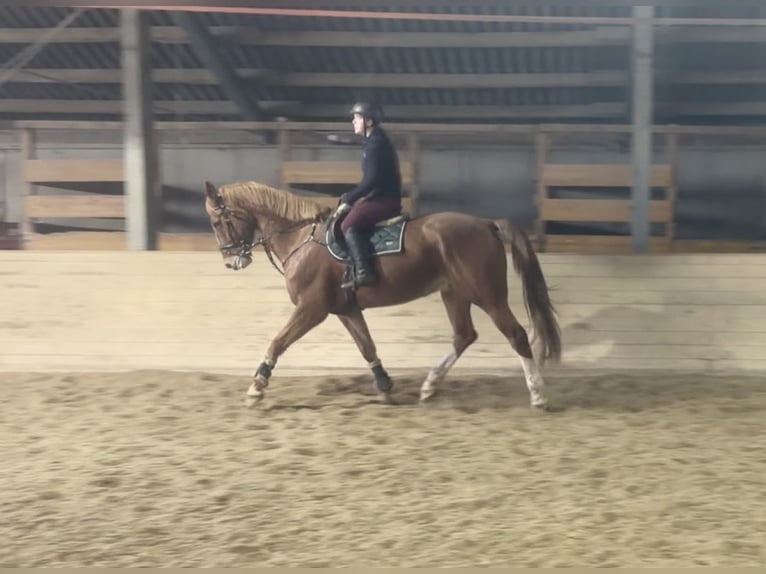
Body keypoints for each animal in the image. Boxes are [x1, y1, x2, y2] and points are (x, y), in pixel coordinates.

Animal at [203, 180, 562, 409]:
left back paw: (538, 394)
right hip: (454, 294)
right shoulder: (345, 310)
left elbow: (278, 342)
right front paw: (386, 386)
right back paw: (430, 386)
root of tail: (486, 224)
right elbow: (367, 347)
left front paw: (256, 387)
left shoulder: (311, 309)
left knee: (516, 334)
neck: (301, 239)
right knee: (464, 336)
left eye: (218, 221)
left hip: (487, 295)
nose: (231, 260)